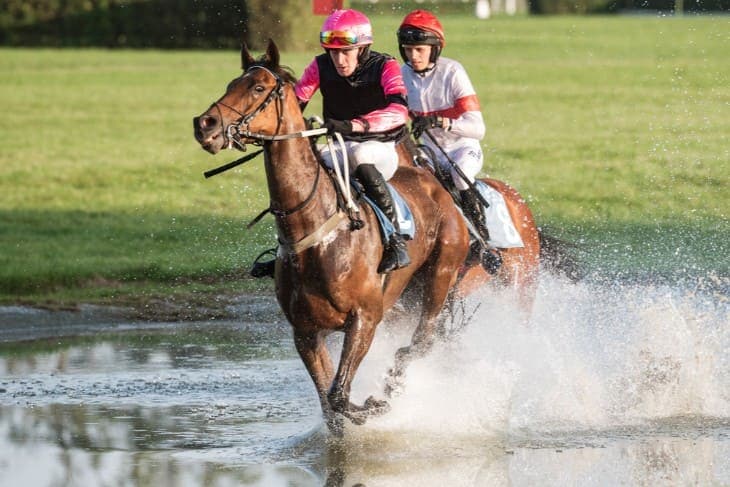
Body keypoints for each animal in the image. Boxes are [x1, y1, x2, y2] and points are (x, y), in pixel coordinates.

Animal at [193, 40, 540, 432]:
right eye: (231, 84)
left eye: (257, 87)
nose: (205, 124)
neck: (314, 231)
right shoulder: (305, 332)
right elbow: (330, 405)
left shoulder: (364, 319)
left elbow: (339, 395)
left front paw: (373, 404)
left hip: (453, 276)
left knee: (425, 339)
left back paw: (396, 382)